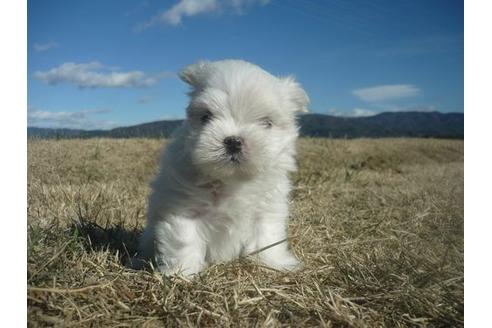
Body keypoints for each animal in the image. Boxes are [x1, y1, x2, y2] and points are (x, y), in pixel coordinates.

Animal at [136, 59, 310, 276]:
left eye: (267, 123)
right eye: (206, 117)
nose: (234, 141)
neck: (233, 180)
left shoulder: (267, 209)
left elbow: (266, 237)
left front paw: (273, 263)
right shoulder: (184, 207)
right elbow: (184, 240)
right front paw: (182, 273)